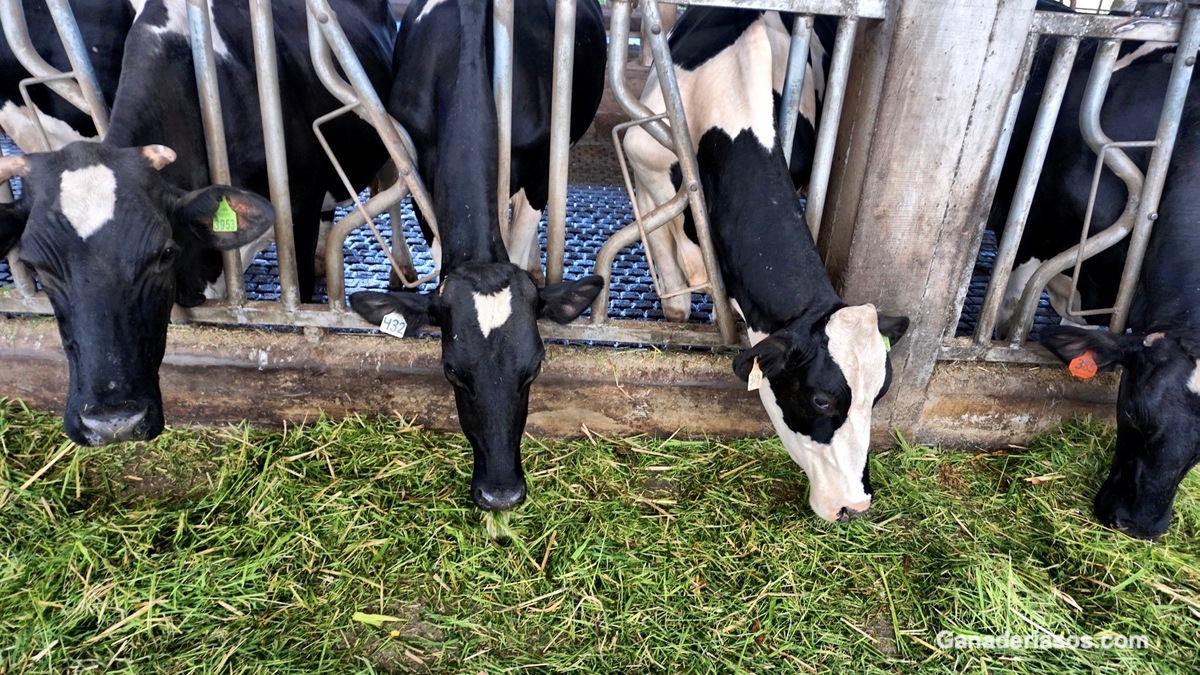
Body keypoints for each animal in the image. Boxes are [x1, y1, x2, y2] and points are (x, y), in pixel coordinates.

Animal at [348, 1, 609, 509]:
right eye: (451, 371)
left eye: (535, 368)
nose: (500, 494)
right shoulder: (418, 173)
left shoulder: (540, 174)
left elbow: (523, 234)